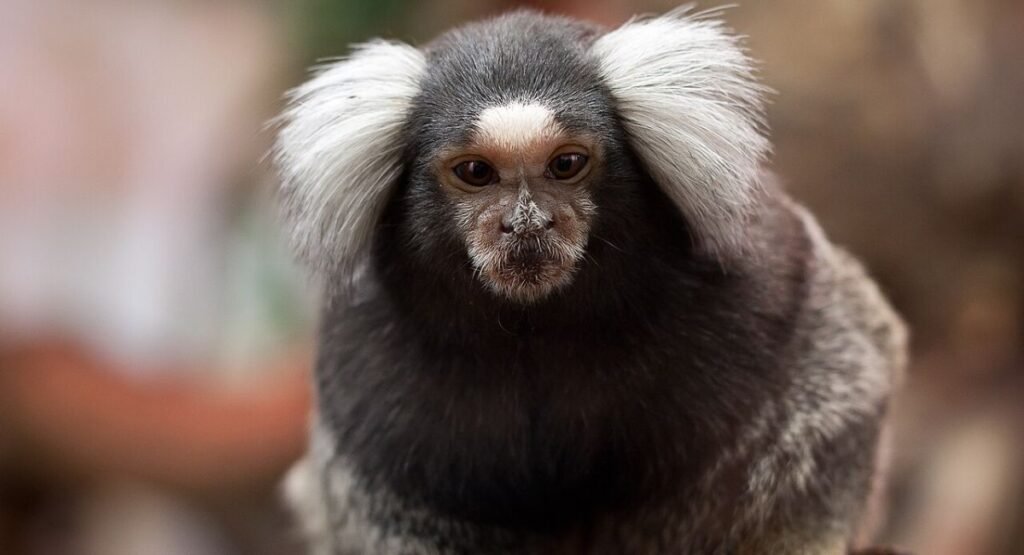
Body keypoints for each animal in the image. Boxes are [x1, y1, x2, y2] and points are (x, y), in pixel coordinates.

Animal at [274, 7, 908, 555]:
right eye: (476, 172)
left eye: (566, 164)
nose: (526, 223)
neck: (537, 325)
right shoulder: (364, 384)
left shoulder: (770, 288)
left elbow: (828, 399)